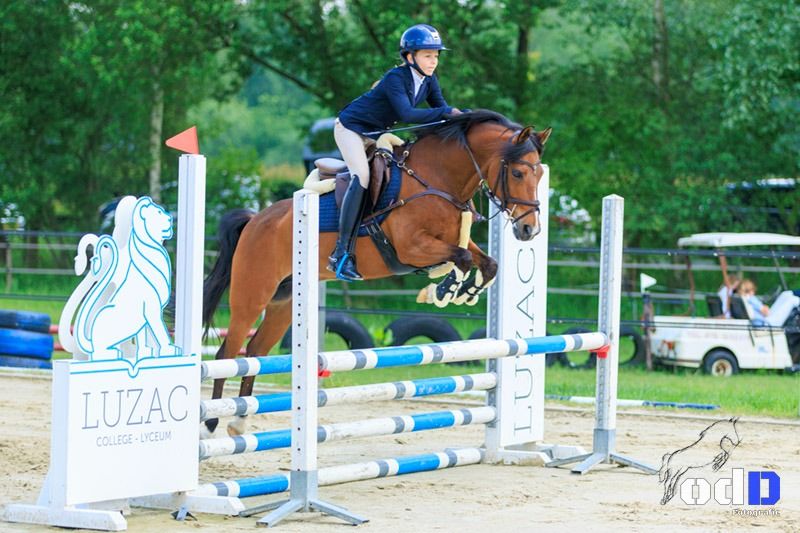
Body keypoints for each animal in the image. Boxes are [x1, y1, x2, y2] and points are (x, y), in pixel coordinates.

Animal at [201, 110, 551, 436]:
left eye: (539, 174)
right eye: (517, 172)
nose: (529, 230)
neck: (438, 178)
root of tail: (256, 220)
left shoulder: (452, 241)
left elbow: (487, 263)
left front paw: (464, 291)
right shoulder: (412, 248)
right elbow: (462, 259)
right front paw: (442, 290)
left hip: (283, 303)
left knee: (256, 351)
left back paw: (240, 422)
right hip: (252, 295)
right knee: (226, 353)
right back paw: (211, 422)